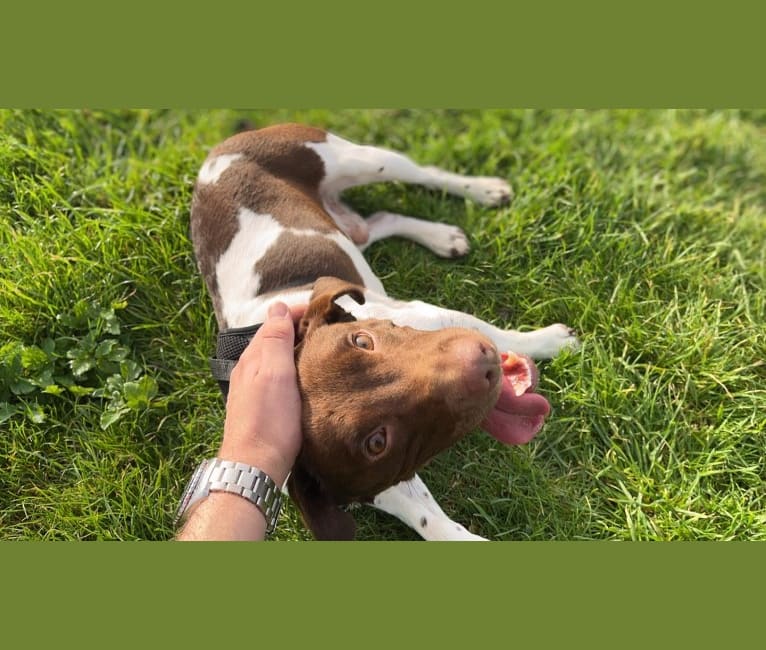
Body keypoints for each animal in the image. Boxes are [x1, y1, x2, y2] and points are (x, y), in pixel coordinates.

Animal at [189, 121, 580, 536]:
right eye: (376, 443)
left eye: (363, 341)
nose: (479, 365)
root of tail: (217, 153)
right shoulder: (382, 479)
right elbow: (426, 515)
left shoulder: (433, 315)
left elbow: (503, 335)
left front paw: (551, 341)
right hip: (351, 223)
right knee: (376, 221)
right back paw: (442, 237)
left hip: (361, 160)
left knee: (425, 173)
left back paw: (483, 190)